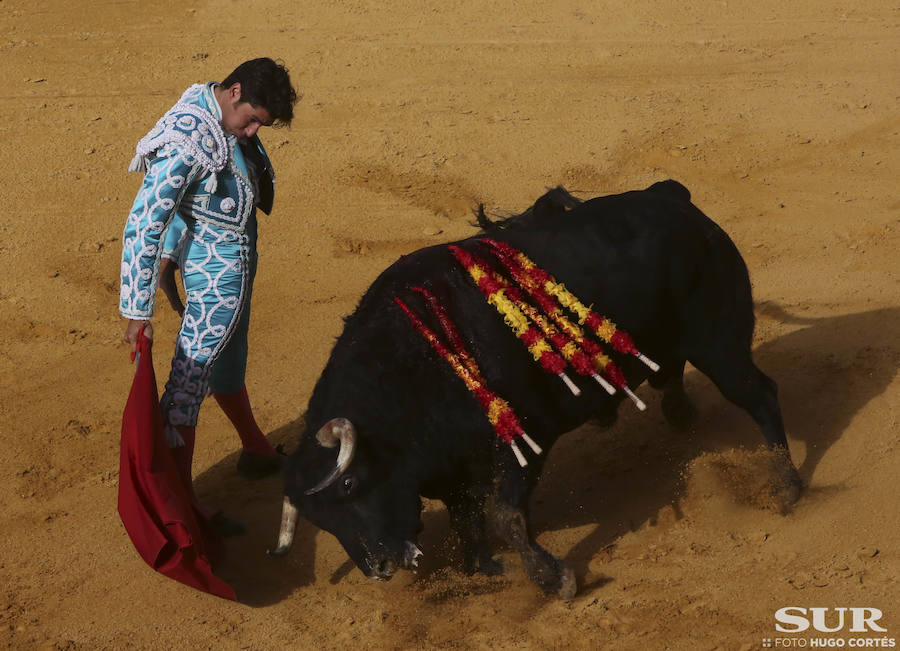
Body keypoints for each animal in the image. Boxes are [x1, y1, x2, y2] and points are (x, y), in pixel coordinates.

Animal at [272, 181, 800, 600]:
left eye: (348, 484)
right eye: (319, 520)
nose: (378, 568)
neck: (410, 367)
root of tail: (672, 197)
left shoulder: (524, 440)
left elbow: (505, 516)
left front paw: (554, 580)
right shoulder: (454, 471)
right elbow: (469, 525)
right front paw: (491, 570)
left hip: (720, 343)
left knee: (760, 395)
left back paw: (787, 487)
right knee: (673, 376)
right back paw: (683, 414)